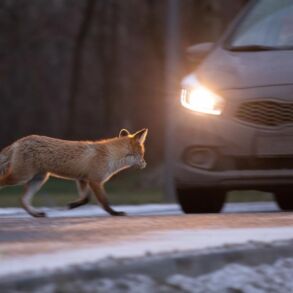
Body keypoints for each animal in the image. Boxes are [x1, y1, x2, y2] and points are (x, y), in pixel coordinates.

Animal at [0, 128, 147, 217]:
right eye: (142, 154)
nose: (145, 164)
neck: (110, 156)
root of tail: (18, 142)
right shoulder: (95, 181)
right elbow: (104, 201)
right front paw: (115, 213)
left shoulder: (82, 179)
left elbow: (86, 199)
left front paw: (71, 205)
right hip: (21, 177)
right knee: (7, 186)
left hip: (38, 179)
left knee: (22, 199)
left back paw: (35, 213)